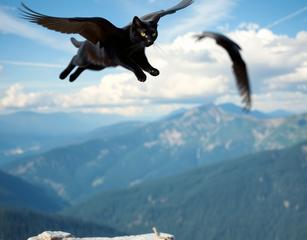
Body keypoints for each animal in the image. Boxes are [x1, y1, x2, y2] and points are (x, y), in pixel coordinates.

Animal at [19, 0, 194, 82]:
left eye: (154, 33)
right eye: (144, 33)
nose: (150, 40)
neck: (133, 44)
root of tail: (84, 43)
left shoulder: (139, 53)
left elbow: (145, 63)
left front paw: (152, 71)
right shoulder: (121, 56)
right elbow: (134, 65)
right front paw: (141, 76)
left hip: (98, 65)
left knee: (82, 68)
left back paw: (72, 78)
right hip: (87, 59)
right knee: (74, 60)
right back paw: (63, 75)